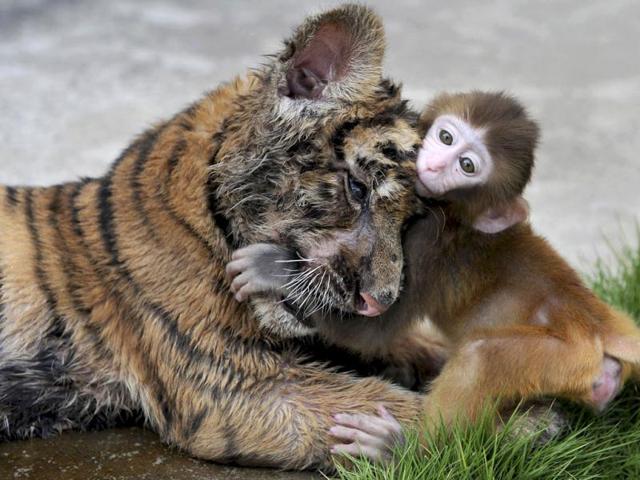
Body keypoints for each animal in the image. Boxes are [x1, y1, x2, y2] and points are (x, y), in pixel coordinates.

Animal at [226, 91, 640, 462]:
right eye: (446, 137)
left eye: (467, 166)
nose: (437, 164)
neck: (455, 215)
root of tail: (604, 323)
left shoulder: (425, 243)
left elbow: (371, 328)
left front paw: (274, 269)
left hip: (565, 357)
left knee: (480, 355)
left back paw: (403, 449)